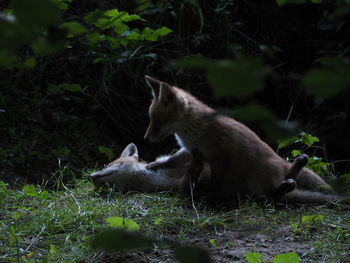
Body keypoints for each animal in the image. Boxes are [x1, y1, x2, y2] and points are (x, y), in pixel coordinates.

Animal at [144, 75, 344, 205]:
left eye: (157, 121)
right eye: (150, 119)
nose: (145, 138)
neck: (193, 131)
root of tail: (281, 166)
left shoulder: (220, 156)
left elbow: (216, 181)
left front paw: (211, 198)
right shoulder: (190, 150)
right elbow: (172, 160)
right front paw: (155, 165)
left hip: (259, 177)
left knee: (274, 196)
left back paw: (289, 181)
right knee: (279, 189)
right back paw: (297, 166)